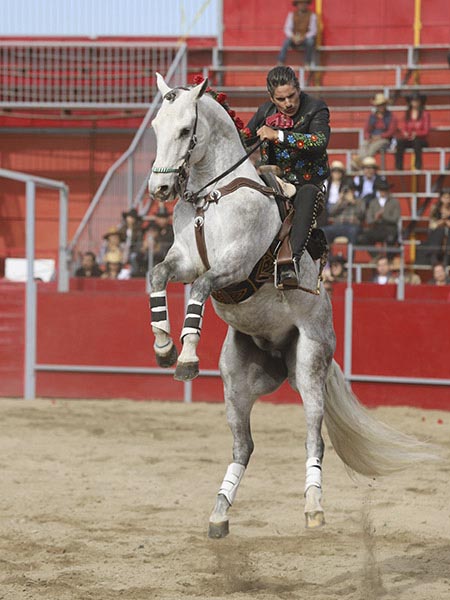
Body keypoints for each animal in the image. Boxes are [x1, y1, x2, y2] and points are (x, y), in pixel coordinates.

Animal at [148, 75, 432, 540]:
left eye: (186, 129)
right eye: (156, 126)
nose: (160, 190)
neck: (214, 196)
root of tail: (281, 353)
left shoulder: (234, 268)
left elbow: (199, 290)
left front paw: (187, 357)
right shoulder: (184, 261)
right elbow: (157, 277)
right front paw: (163, 347)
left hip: (311, 367)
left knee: (314, 439)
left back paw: (313, 507)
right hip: (237, 382)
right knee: (244, 446)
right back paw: (220, 512)